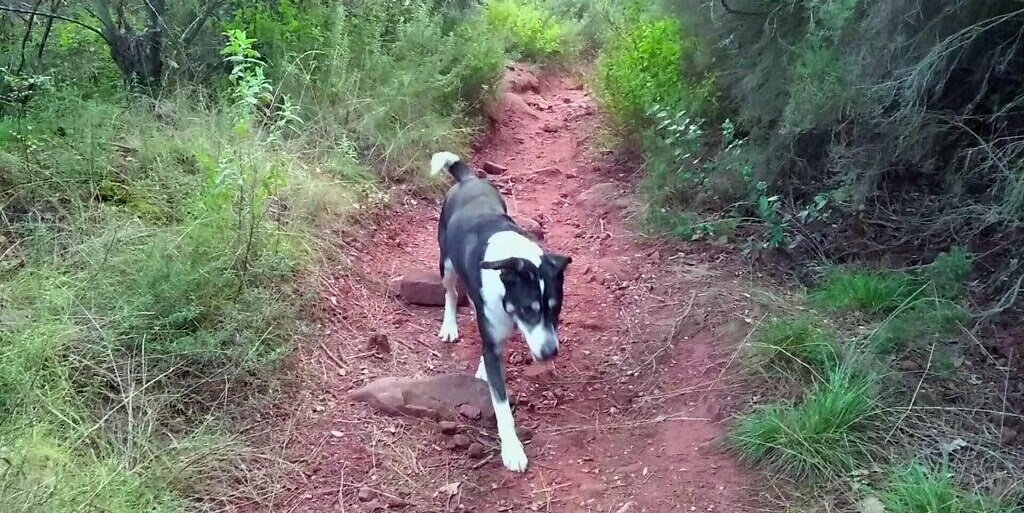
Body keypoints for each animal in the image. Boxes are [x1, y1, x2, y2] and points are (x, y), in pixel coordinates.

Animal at [430, 149, 573, 468]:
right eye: (529, 310)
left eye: (555, 309)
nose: (550, 352)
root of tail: (468, 178)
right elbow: (501, 404)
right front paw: (512, 449)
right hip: (446, 262)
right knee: (450, 292)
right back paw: (450, 325)